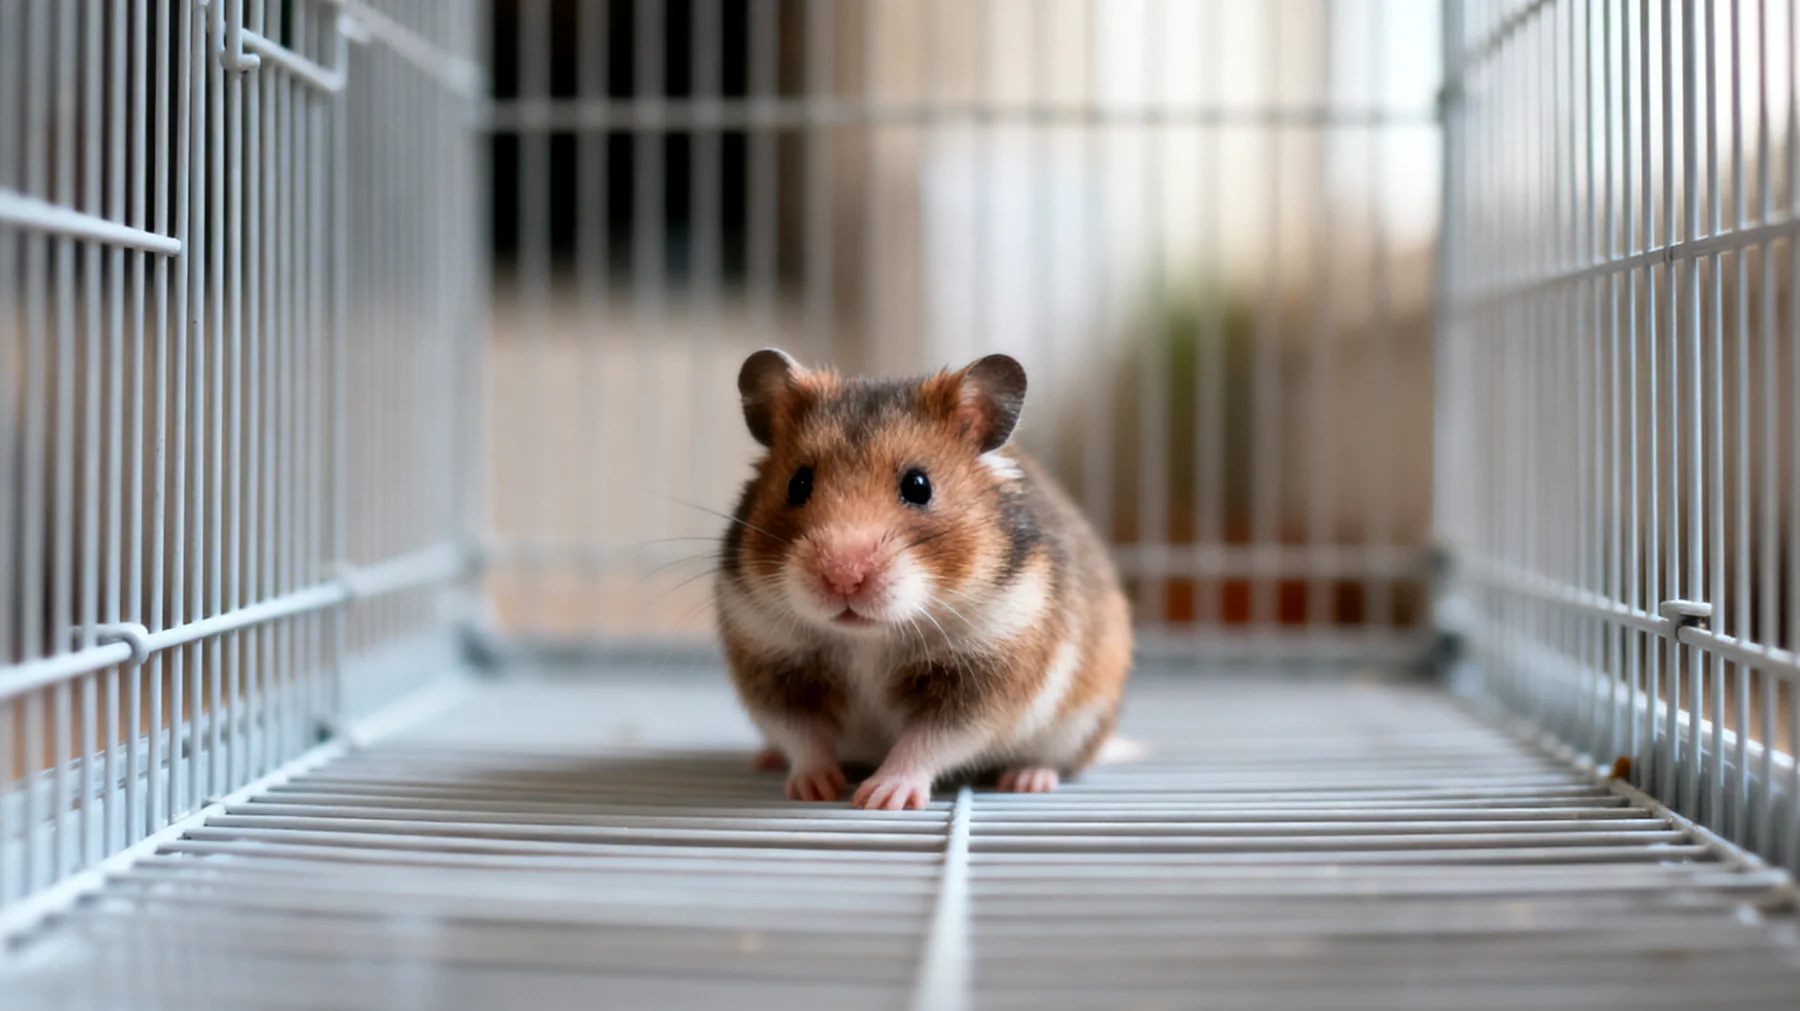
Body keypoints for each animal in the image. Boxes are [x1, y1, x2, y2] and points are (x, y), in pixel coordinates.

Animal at [713, 348, 1133, 810]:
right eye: (797, 483)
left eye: (918, 485)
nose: (843, 577)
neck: (869, 640)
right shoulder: (773, 660)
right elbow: (804, 736)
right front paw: (814, 789)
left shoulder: (983, 672)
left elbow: (927, 743)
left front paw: (880, 797)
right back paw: (766, 760)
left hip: (1079, 722)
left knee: (1055, 761)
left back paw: (1027, 778)